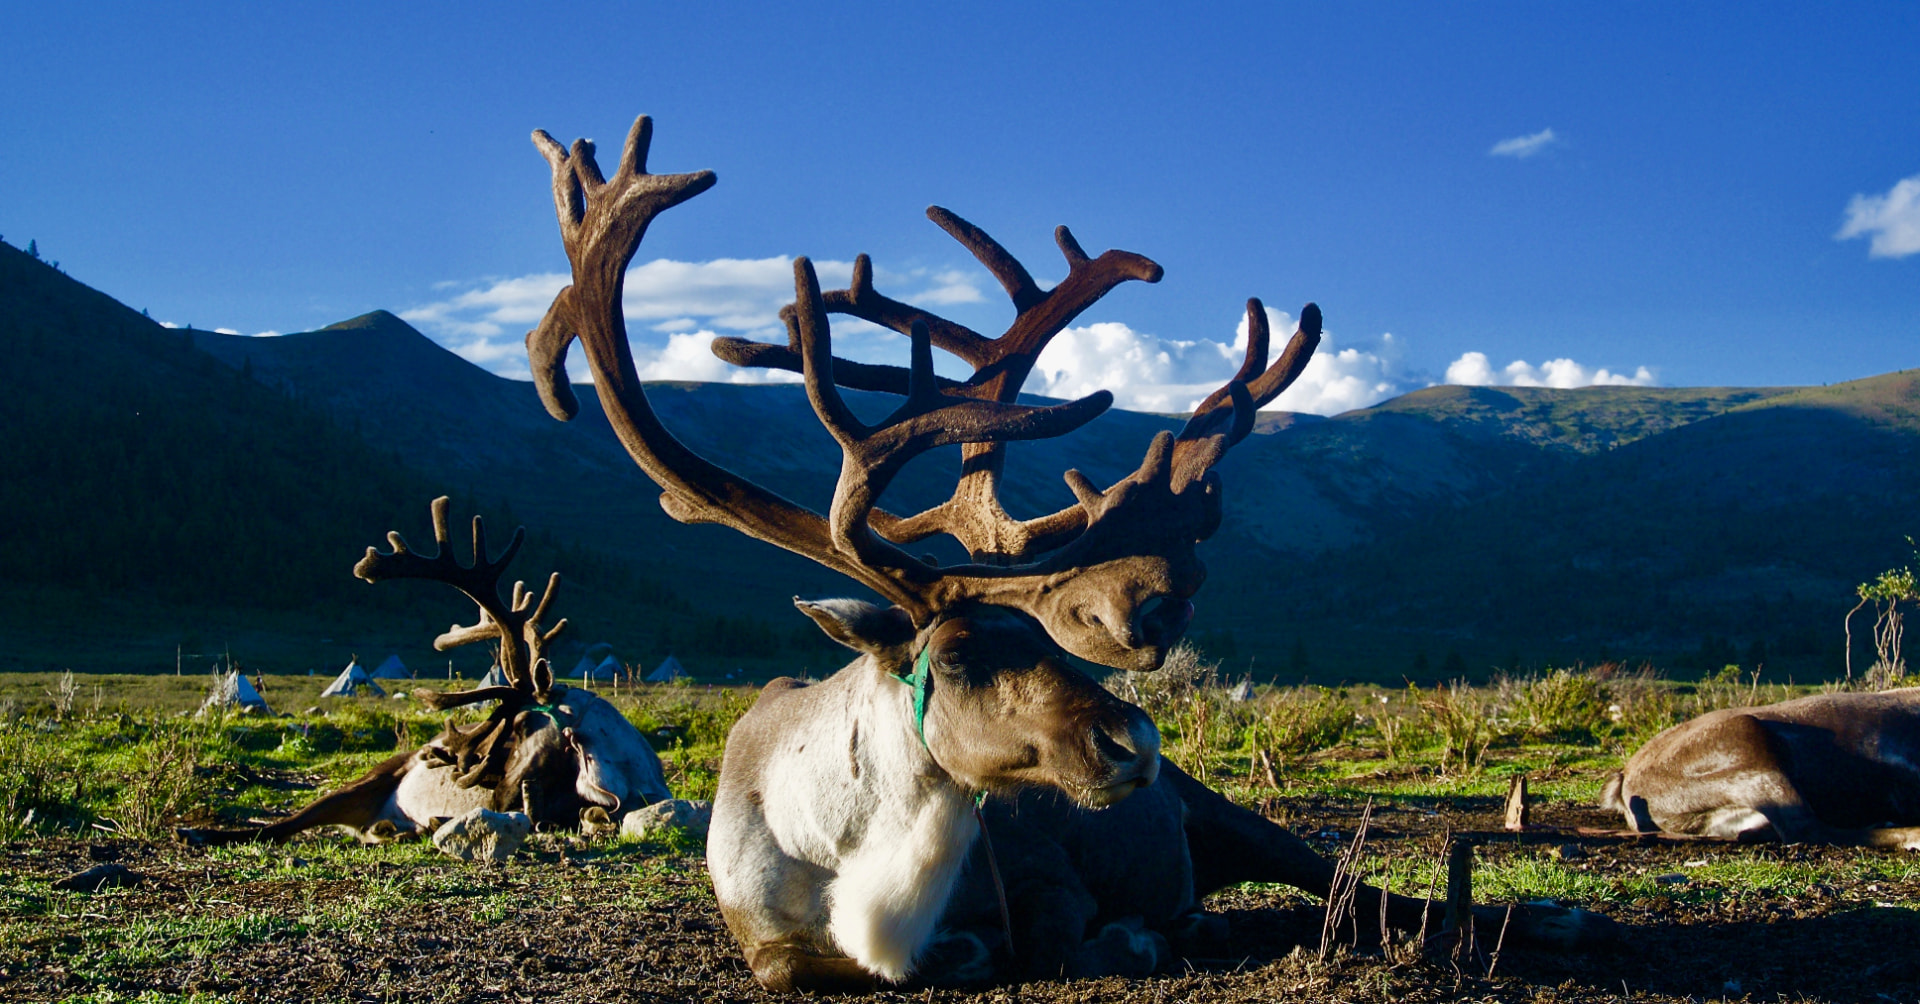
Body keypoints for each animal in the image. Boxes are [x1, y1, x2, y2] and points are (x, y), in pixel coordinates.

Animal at [179, 498, 671, 846]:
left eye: (518, 729)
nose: (455, 766)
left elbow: (590, 814)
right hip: (366, 780)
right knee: (280, 826)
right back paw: (198, 831)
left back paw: (403, 827)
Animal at [522, 114, 1613, 991]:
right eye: (961, 656)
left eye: (1049, 640)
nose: (1140, 743)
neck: (854, 863)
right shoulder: (766, 936)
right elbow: (805, 965)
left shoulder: (1046, 880)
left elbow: (1057, 938)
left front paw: (1135, 937)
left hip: (1225, 814)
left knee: (1354, 881)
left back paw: (1547, 916)